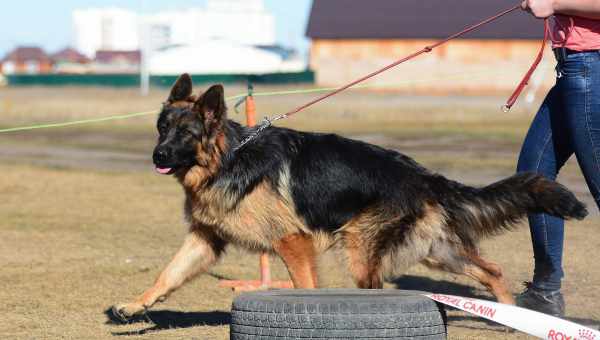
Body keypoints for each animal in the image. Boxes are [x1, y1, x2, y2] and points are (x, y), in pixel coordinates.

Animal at [112, 73, 584, 318]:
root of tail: (423, 175)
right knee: (492, 271)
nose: (156, 154)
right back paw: (512, 316)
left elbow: (304, 287)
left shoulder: (293, 242)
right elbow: (167, 275)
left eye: (185, 134)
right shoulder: (205, 240)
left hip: (362, 251)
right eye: (162, 128)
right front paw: (135, 306)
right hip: (436, 251)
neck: (228, 160)